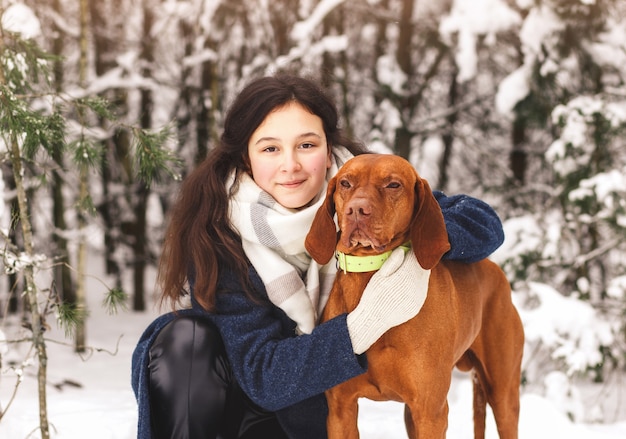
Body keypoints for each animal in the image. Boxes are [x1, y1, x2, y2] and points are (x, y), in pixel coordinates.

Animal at [302, 153, 520, 438]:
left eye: (393, 185)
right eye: (345, 183)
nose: (356, 210)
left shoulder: (431, 412)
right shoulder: (340, 411)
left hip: (503, 397)